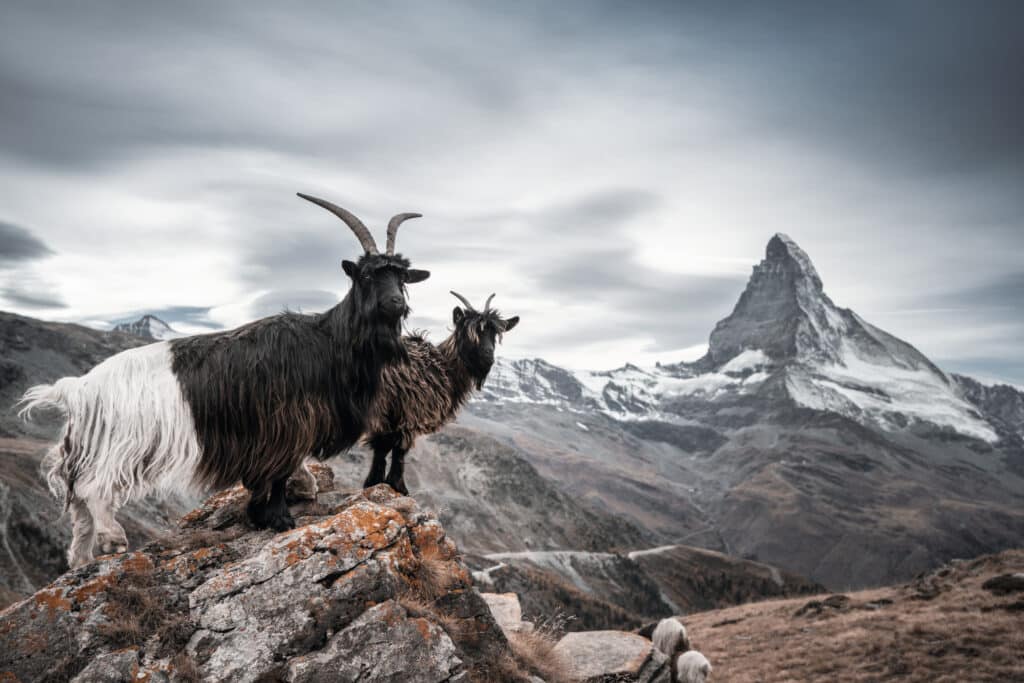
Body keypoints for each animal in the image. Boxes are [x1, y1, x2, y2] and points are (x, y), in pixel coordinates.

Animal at [19, 194, 428, 569]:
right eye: (367, 275)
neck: (328, 341)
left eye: (401, 277)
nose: (396, 304)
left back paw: (82, 558)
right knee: (93, 489)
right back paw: (113, 538)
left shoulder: (280, 430)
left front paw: (289, 496)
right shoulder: (286, 422)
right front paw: (278, 517)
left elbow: (282, 467)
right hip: (122, 444)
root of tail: (79, 389)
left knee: (78, 510)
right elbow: (278, 471)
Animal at [362, 290, 520, 493]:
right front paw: (396, 486)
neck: (444, 367)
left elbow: (384, 447)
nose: (488, 357)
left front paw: (377, 482)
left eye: (494, 334)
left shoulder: (392, 415)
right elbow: (396, 449)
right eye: (469, 332)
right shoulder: (407, 412)